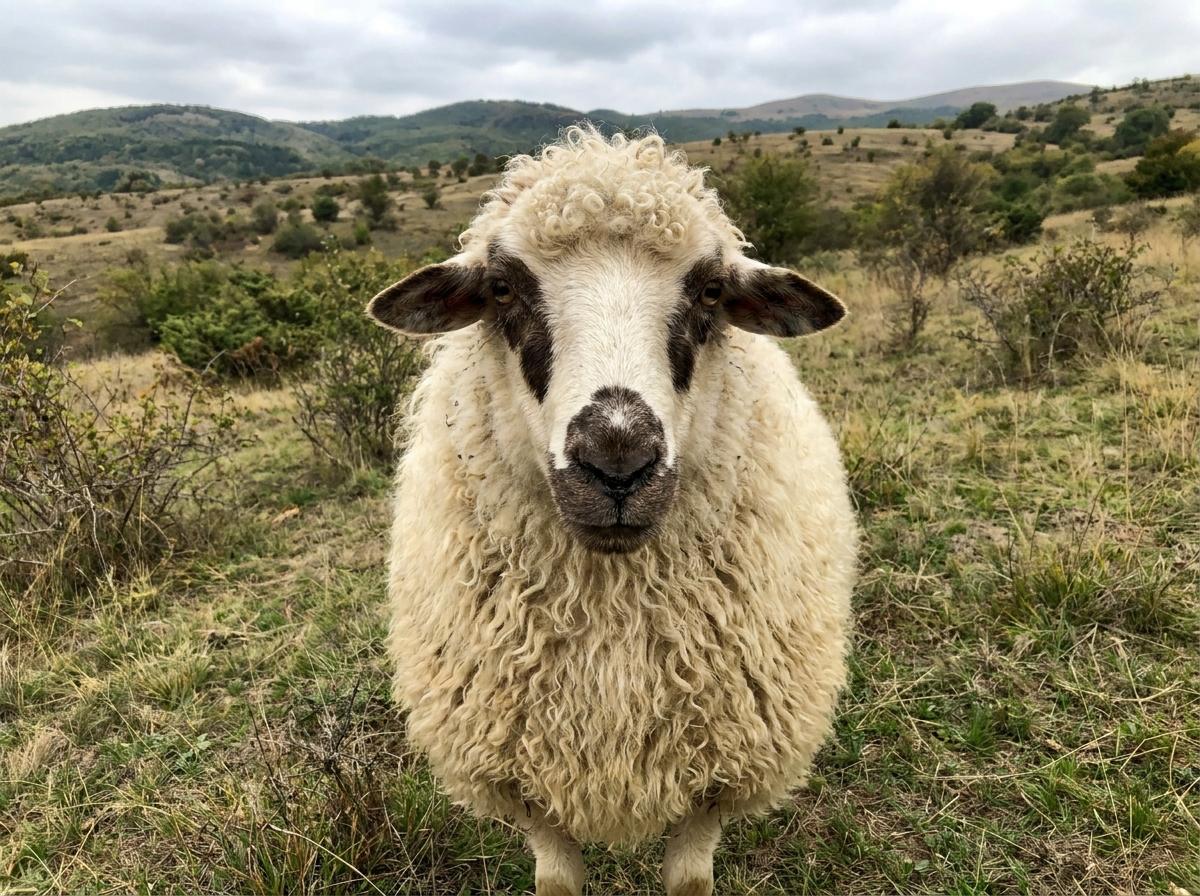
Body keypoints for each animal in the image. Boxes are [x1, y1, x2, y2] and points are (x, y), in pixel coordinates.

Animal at [367, 126, 858, 896]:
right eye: (502, 289)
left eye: (711, 291)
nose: (618, 459)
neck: (612, 618)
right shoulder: (523, 776)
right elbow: (557, 883)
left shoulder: (716, 773)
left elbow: (689, 882)